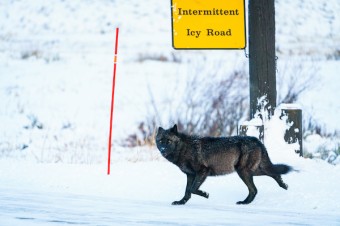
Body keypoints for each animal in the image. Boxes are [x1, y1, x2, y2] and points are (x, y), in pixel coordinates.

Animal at [156, 124, 292, 206]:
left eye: (168, 141)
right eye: (160, 141)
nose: (162, 149)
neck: (184, 149)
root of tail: (257, 140)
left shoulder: (203, 171)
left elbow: (192, 189)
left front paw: (205, 194)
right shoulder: (190, 175)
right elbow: (187, 191)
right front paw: (181, 202)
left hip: (243, 171)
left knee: (254, 189)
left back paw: (244, 202)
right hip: (253, 171)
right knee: (275, 173)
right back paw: (284, 185)